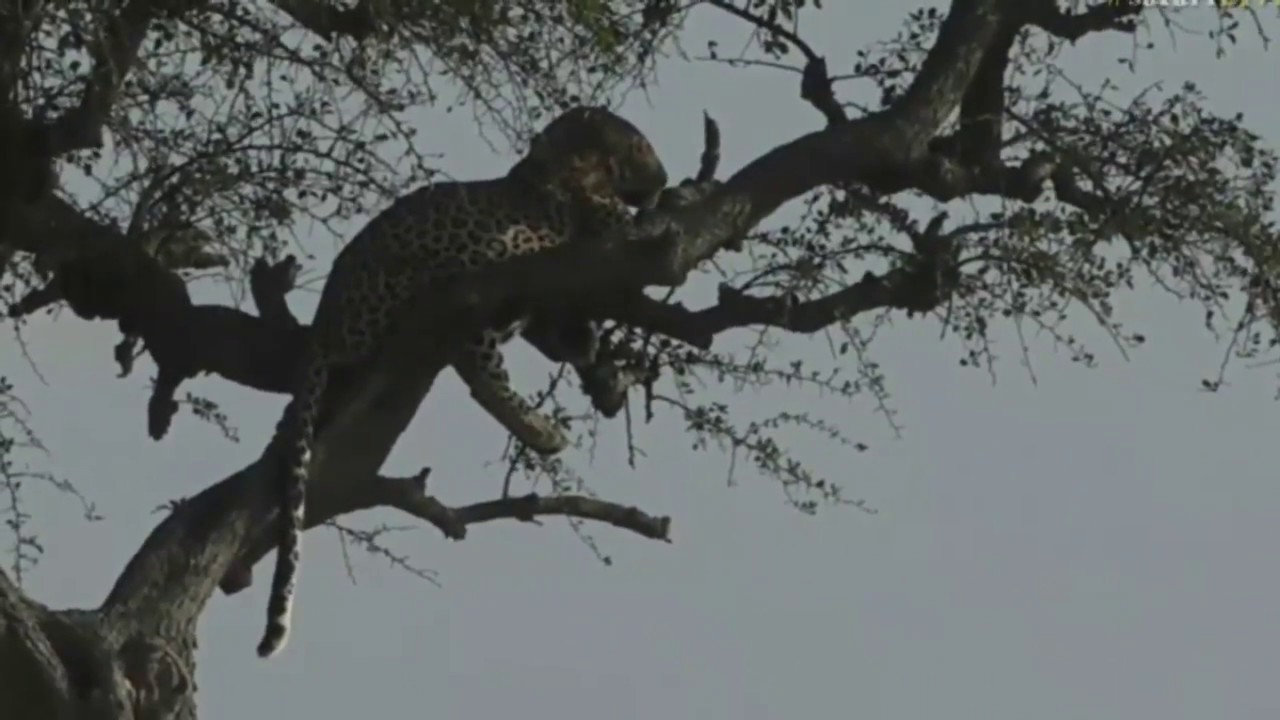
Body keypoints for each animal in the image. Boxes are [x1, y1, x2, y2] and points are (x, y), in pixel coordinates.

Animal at [256, 106, 669, 659]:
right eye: (640, 147)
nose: (663, 181)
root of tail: (324, 322)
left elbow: (572, 338)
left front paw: (599, 367)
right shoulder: (604, 226)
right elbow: (630, 230)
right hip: (459, 279)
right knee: (482, 374)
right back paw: (542, 432)